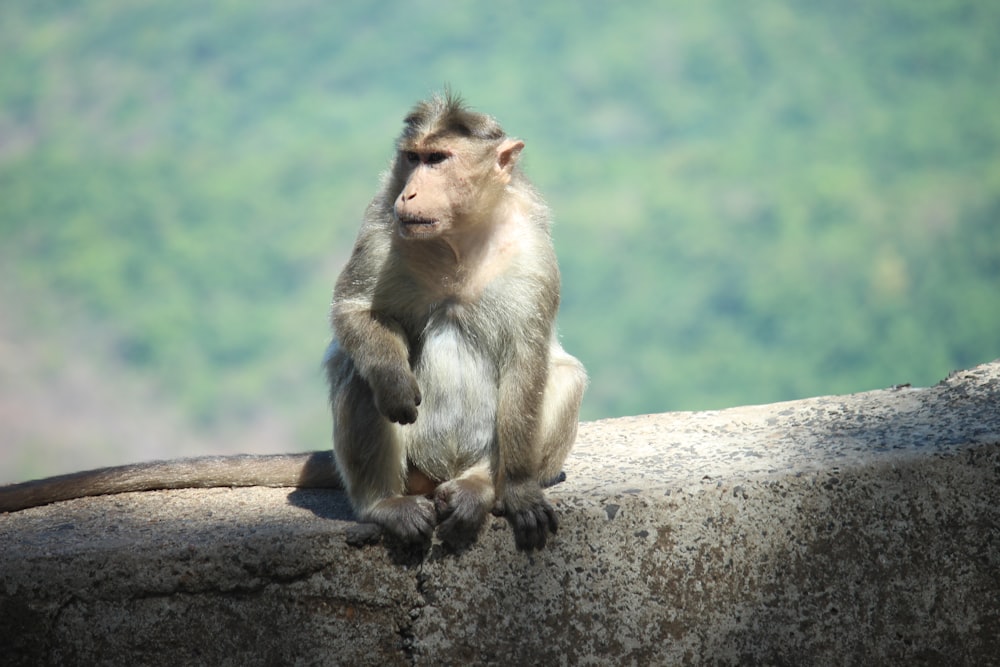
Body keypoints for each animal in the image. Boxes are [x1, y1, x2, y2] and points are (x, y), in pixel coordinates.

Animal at [0, 92, 584, 552]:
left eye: (439, 159)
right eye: (412, 159)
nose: (411, 191)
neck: (457, 240)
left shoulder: (533, 250)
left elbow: (528, 357)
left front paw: (519, 491)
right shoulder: (381, 219)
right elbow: (354, 313)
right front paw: (395, 382)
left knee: (562, 376)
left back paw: (481, 486)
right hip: (406, 465)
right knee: (358, 374)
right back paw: (384, 504)